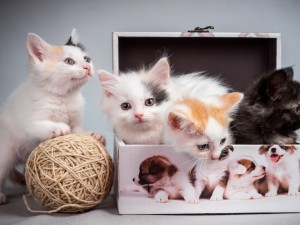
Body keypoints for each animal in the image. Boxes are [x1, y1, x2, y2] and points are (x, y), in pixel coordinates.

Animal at [0, 28, 104, 204]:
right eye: (69, 61)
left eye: (86, 59)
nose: (87, 67)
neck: (64, 97)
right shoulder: (28, 122)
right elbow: (39, 125)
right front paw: (59, 128)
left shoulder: (76, 120)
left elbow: (77, 131)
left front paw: (93, 135)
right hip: (6, 151)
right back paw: (0, 195)